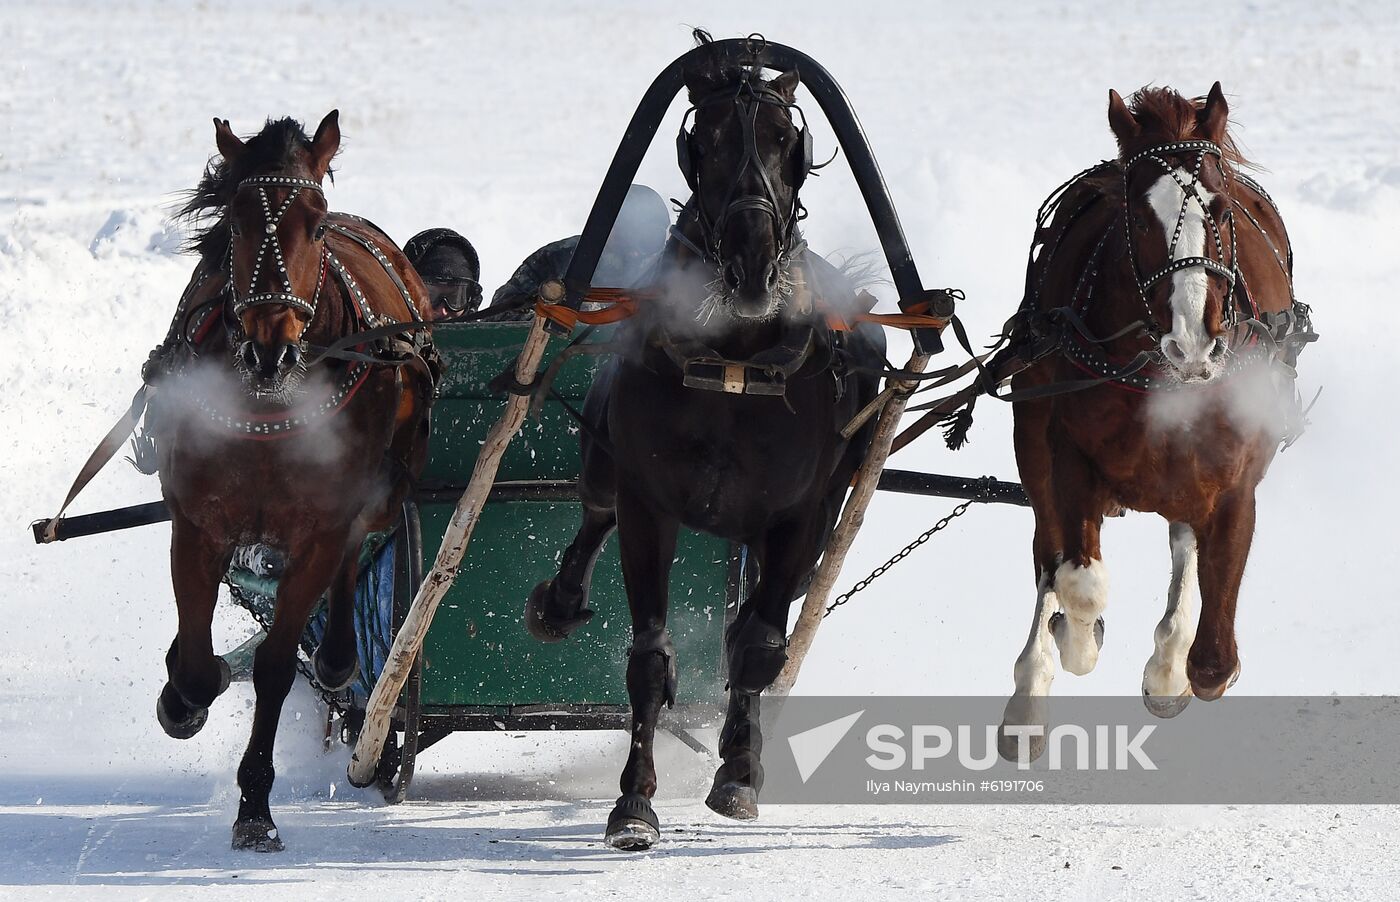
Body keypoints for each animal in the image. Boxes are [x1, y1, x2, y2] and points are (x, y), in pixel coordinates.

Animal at [146, 112, 436, 849]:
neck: (268, 403)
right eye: (237, 219)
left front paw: (255, 805)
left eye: (317, 221)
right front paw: (184, 696)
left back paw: (336, 662)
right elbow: (197, 664)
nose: (269, 349)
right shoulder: (198, 524)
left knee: (359, 549)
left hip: (385, 485)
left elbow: (277, 664)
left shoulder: (318, 533)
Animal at [523, 38, 885, 849]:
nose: (752, 257)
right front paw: (633, 802)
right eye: (709, 138)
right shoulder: (648, 504)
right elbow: (649, 661)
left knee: (757, 628)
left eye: (786, 138)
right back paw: (559, 601)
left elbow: (757, 648)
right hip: (603, 462)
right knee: (592, 513)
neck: (735, 360)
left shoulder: (801, 515)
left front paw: (739, 771)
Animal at [996, 84, 1313, 758]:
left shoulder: (1235, 480)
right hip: (1032, 431)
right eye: (1141, 219)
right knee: (1047, 551)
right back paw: (1032, 686)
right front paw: (1077, 641)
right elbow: (1077, 579)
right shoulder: (1066, 452)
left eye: (1220, 212)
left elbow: (1213, 663)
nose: (1194, 342)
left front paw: (1171, 668)